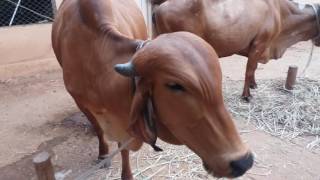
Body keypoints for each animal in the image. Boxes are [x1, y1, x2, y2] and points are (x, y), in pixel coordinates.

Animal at [52, 0, 252, 179]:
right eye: (175, 86)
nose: (244, 161)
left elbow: (123, 148)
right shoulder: (80, 101)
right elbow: (99, 129)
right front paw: (103, 153)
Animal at [152, 0, 320, 101]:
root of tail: (160, 7)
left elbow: (254, 68)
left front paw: (253, 85)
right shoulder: (259, 44)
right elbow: (249, 70)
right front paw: (246, 95)